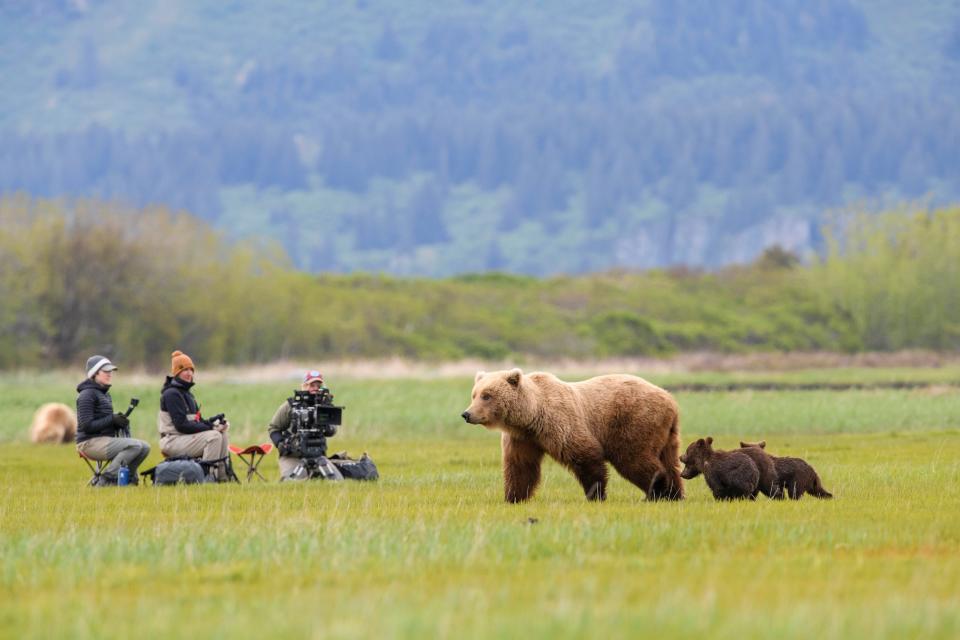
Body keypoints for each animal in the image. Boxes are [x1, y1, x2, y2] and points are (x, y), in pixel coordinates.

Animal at [460, 368, 680, 502]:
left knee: (633, 458)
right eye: (474, 394)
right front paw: (513, 497)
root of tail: (670, 399)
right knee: (669, 461)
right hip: (666, 433)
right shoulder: (523, 438)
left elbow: (585, 454)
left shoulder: (560, 423)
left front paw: (595, 494)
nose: (467, 414)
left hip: (634, 421)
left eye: (487, 396)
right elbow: (520, 466)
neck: (531, 416)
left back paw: (658, 490)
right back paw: (674, 493)